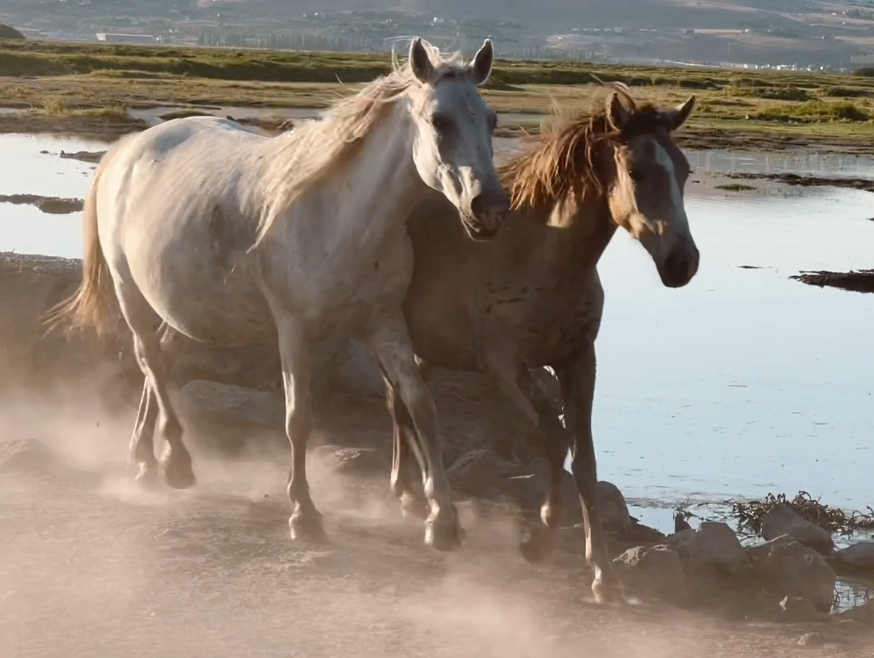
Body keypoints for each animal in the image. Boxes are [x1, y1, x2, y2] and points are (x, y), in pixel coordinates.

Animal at [46, 38, 510, 551]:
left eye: (491, 119)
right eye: (439, 120)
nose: (489, 208)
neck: (340, 217)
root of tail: (126, 150)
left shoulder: (384, 323)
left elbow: (421, 406)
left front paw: (442, 519)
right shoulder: (294, 331)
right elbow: (297, 418)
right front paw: (304, 513)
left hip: (185, 305)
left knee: (161, 364)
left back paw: (148, 460)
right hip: (131, 292)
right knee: (149, 358)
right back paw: (177, 463)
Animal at [386, 85, 699, 601]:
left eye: (685, 169)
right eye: (637, 170)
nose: (683, 262)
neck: (538, 255)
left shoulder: (579, 362)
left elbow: (586, 462)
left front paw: (604, 575)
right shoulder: (506, 366)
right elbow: (553, 437)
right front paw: (541, 538)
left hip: (425, 349)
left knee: (403, 407)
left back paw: (411, 494)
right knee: (404, 406)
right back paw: (422, 505)